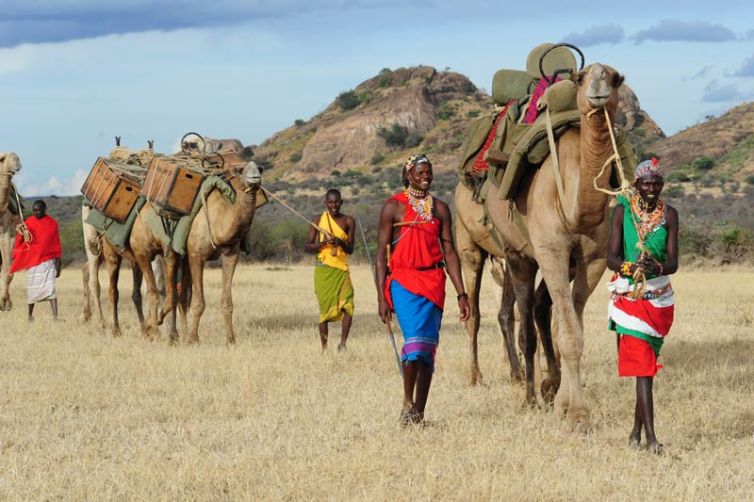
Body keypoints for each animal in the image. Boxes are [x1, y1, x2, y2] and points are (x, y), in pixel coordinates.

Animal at [129, 159, 262, 344]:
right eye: (241, 169)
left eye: (260, 169)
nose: (255, 176)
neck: (219, 218)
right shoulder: (196, 256)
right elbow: (199, 302)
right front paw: (193, 338)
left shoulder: (231, 254)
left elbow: (226, 302)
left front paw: (230, 340)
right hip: (141, 249)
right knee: (155, 291)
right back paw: (153, 330)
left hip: (174, 255)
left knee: (176, 294)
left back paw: (172, 332)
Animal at [477, 63, 624, 429]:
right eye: (581, 77)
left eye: (617, 78)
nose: (598, 85)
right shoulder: (550, 250)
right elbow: (568, 335)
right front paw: (578, 414)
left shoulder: (593, 259)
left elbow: (570, 329)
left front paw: (563, 402)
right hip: (518, 255)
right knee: (525, 323)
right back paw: (530, 396)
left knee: (543, 310)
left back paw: (546, 387)